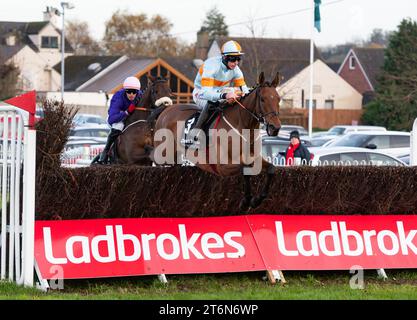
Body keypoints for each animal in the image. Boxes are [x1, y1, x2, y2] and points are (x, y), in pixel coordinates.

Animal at [151, 72, 282, 211]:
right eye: (262, 99)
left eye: (278, 99)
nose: (275, 128)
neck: (241, 125)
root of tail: (166, 109)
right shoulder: (222, 167)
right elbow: (245, 168)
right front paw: (246, 201)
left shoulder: (254, 157)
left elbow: (271, 168)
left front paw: (257, 200)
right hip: (164, 156)